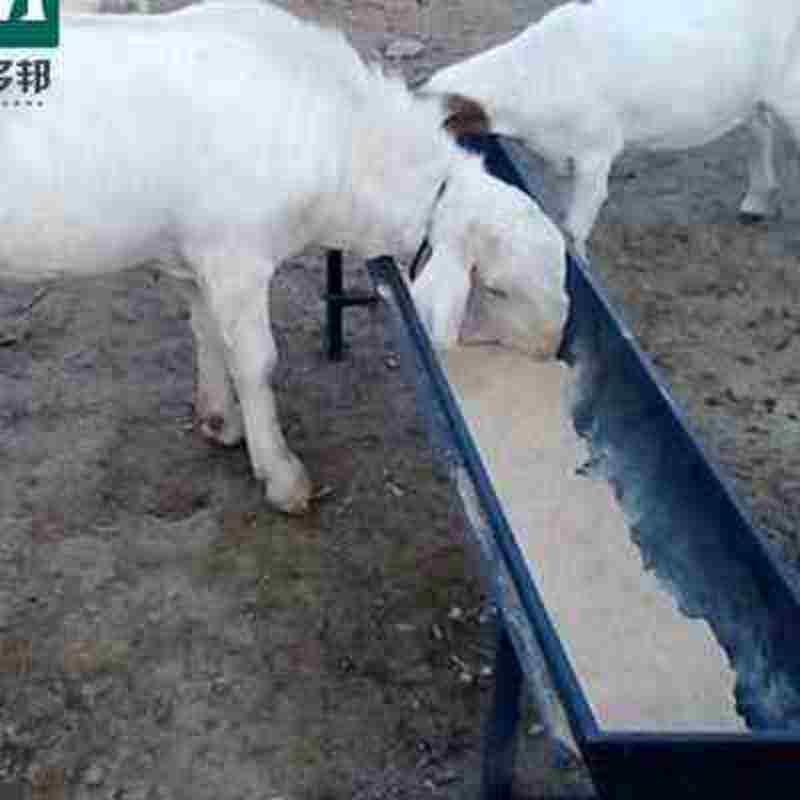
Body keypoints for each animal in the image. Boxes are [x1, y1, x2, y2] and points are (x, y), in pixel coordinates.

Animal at [0, 0, 564, 512]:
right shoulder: (235, 258)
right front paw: (281, 475)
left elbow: (206, 333)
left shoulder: (196, 256)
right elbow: (256, 362)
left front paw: (220, 420)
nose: (550, 348)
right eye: (497, 288)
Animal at [424, 0, 800, 256]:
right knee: (760, 128)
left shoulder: (595, 155)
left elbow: (573, 228)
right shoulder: (566, 158)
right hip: (749, 92)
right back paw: (756, 201)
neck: (532, 75)